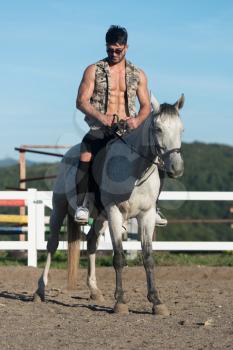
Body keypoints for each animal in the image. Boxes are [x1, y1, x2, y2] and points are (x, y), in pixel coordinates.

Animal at [34, 94, 185, 316]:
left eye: (181, 129)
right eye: (158, 128)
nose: (176, 167)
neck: (133, 171)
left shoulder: (146, 215)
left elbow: (148, 257)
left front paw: (156, 301)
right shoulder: (115, 212)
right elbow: (119, 257)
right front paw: (120, 301)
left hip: (100, 218)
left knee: (91, 243)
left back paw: (94, 290)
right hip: (59, 209)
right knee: (52, 245)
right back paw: (40, 291)